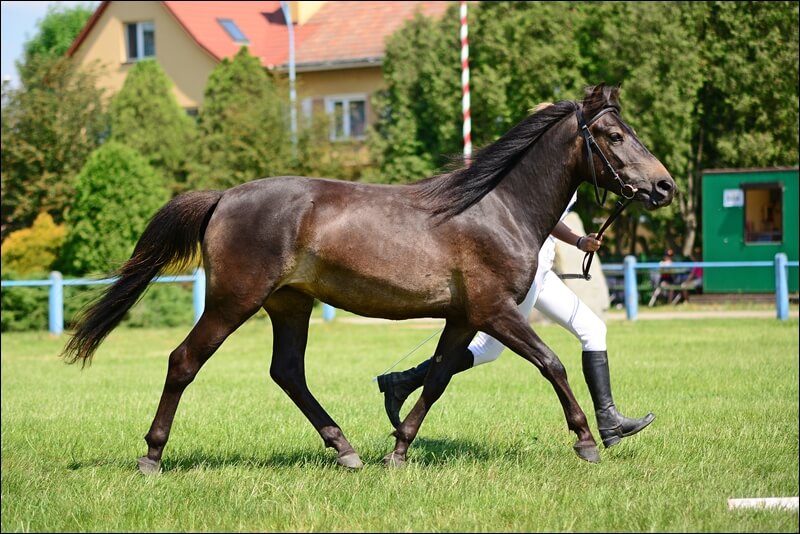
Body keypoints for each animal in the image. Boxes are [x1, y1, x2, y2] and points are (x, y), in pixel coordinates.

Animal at [62, 84, 676, 474]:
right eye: (614, 136)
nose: (664, 187)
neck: (497, 208)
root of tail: (223, 198)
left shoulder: (462, 317)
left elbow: (438, 378)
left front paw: (398, 451)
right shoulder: (494, 310)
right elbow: (551, 363)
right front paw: (587, 441)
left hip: (289, 305)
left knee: (287, 373)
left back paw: (346, 450)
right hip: (233, 302)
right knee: (183, 362)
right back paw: (151, 457)